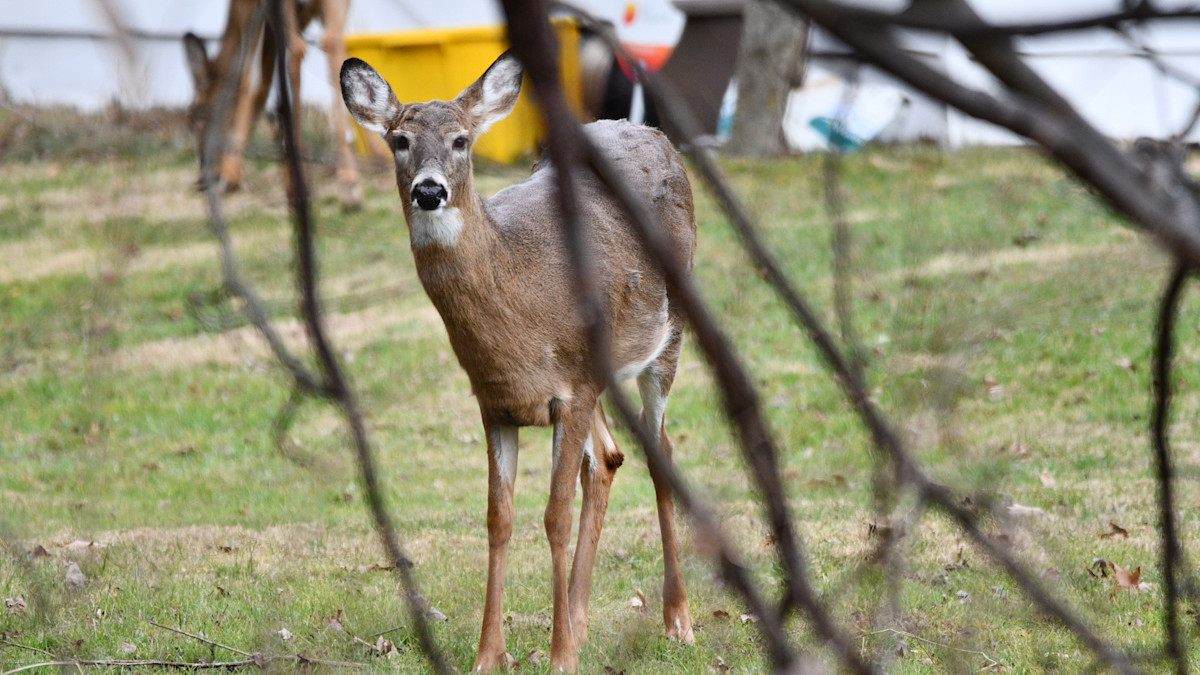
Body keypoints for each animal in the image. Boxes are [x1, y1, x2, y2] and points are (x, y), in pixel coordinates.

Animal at [184, 0, 362, 210]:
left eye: (196, 121)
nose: (204, 176)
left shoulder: (247, 7)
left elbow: (250, 77)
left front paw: (230, 176)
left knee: (295, 51)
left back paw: (298, 188)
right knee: (332, 42)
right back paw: (349, 186)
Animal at [339, 51, 696, 672]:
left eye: (461, 141)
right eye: (399, 140)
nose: (428, 191)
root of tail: (653, 133)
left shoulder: (570, 391)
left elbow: (553, 516)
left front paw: (560, 658)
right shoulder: (496, 402)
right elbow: (498, 519)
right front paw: (491, 654)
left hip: (667, 337)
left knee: (660, 453)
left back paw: (676, 620)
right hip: (600, 376)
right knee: (607, 458)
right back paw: (579, 620)